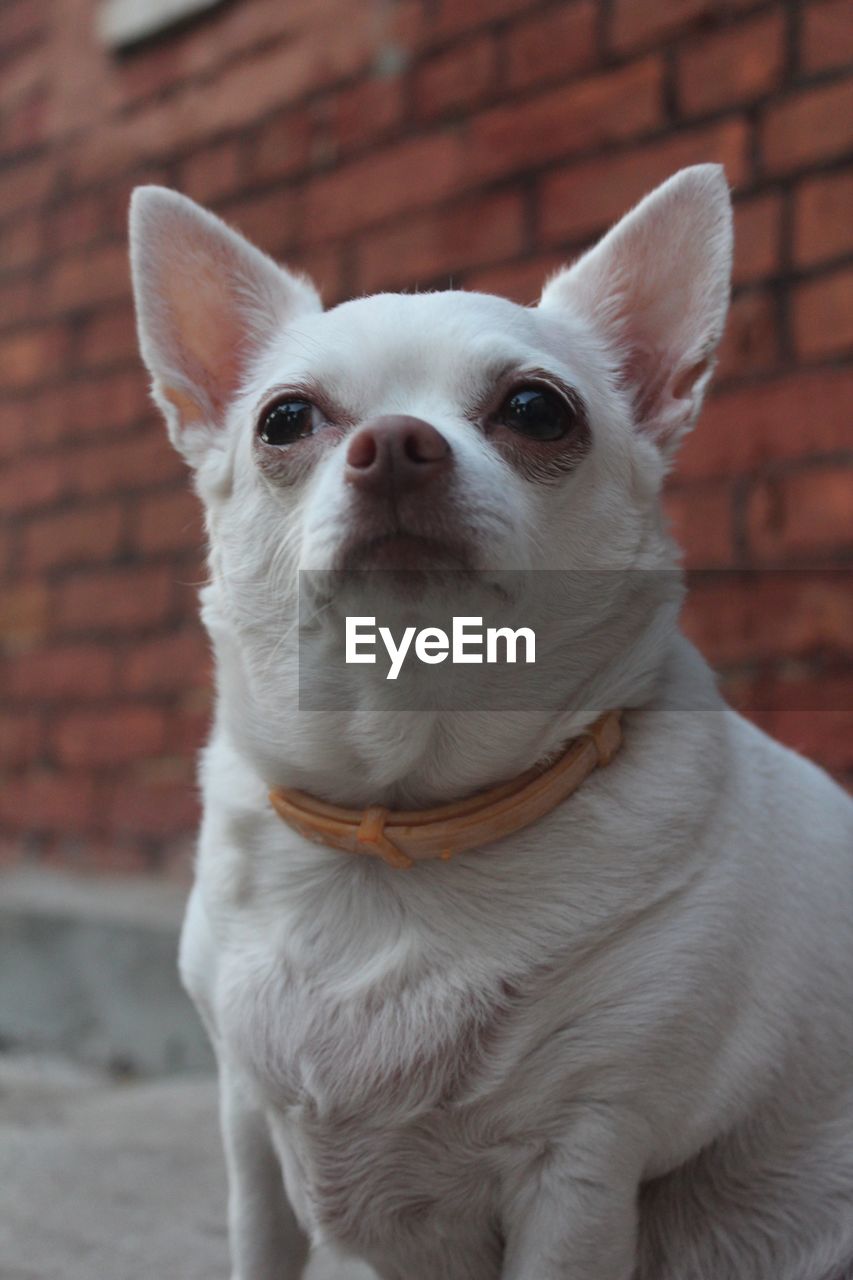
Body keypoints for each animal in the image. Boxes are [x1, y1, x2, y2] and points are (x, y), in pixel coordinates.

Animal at [128, 172, 850, 1280]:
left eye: (536, 410)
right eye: (285, 419)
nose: (395, 441)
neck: (405, 828)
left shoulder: (579, 1166)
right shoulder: (250, 1136)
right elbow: (261, 1246)